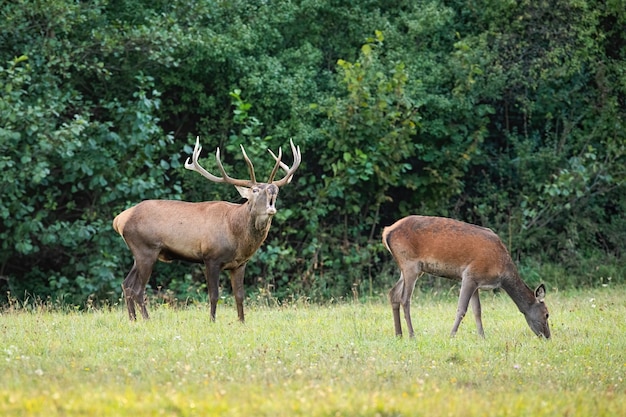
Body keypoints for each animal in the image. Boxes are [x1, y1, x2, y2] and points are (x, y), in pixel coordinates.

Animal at [113, 136, 302, 322]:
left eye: (276, 189)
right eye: (255, 190)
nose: (272, 189)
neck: (236, 235)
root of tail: (119, 219)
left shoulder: (240, 263)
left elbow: (239, 295)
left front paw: (241, 322)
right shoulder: (211, 257)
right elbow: (214, 295)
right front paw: (212, 321)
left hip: (139, 253)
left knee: (126, 285)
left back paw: (133, 320)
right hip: (146, 248)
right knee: (137, 289)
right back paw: (146, 320)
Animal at [380, 214, 552, 338]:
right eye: (547, 314)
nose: (547, 336)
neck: (502, 274)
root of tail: (386, 231)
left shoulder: (476, 281)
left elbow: (477, 310)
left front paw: (482, 337)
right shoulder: (469, 275)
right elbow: (462, 309)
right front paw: (451, 335)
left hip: (410, 268)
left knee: (393, 293)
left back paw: (398, 334)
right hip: (410, 264)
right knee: (404, 298)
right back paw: (411, 335)